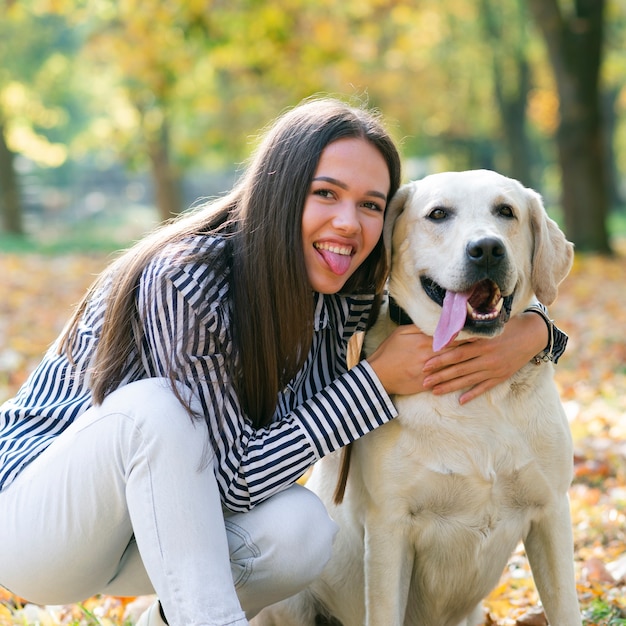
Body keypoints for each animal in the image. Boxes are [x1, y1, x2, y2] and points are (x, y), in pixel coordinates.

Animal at [251, 171, 576, 624]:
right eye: (438, 214)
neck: (472, 395)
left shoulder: (552, 512)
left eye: (505, 211)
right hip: (289, 603)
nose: (487, 249)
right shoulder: (389, 528)